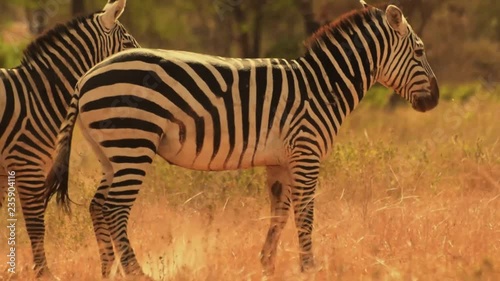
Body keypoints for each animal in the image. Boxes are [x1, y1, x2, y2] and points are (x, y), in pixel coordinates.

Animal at [46, 1, 438, 278]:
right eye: (420, 52)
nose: (434, 100)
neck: (322, 86)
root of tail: (85, 77)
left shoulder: (281, 161)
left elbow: (279, 214)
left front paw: (267, 265)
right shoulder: (307, 152)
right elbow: (305, 213)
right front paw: (309, 267)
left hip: (110, 151)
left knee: (98, 206)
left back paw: (107, 271)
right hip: (132, 142)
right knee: (114, 209)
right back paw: (135, 273)